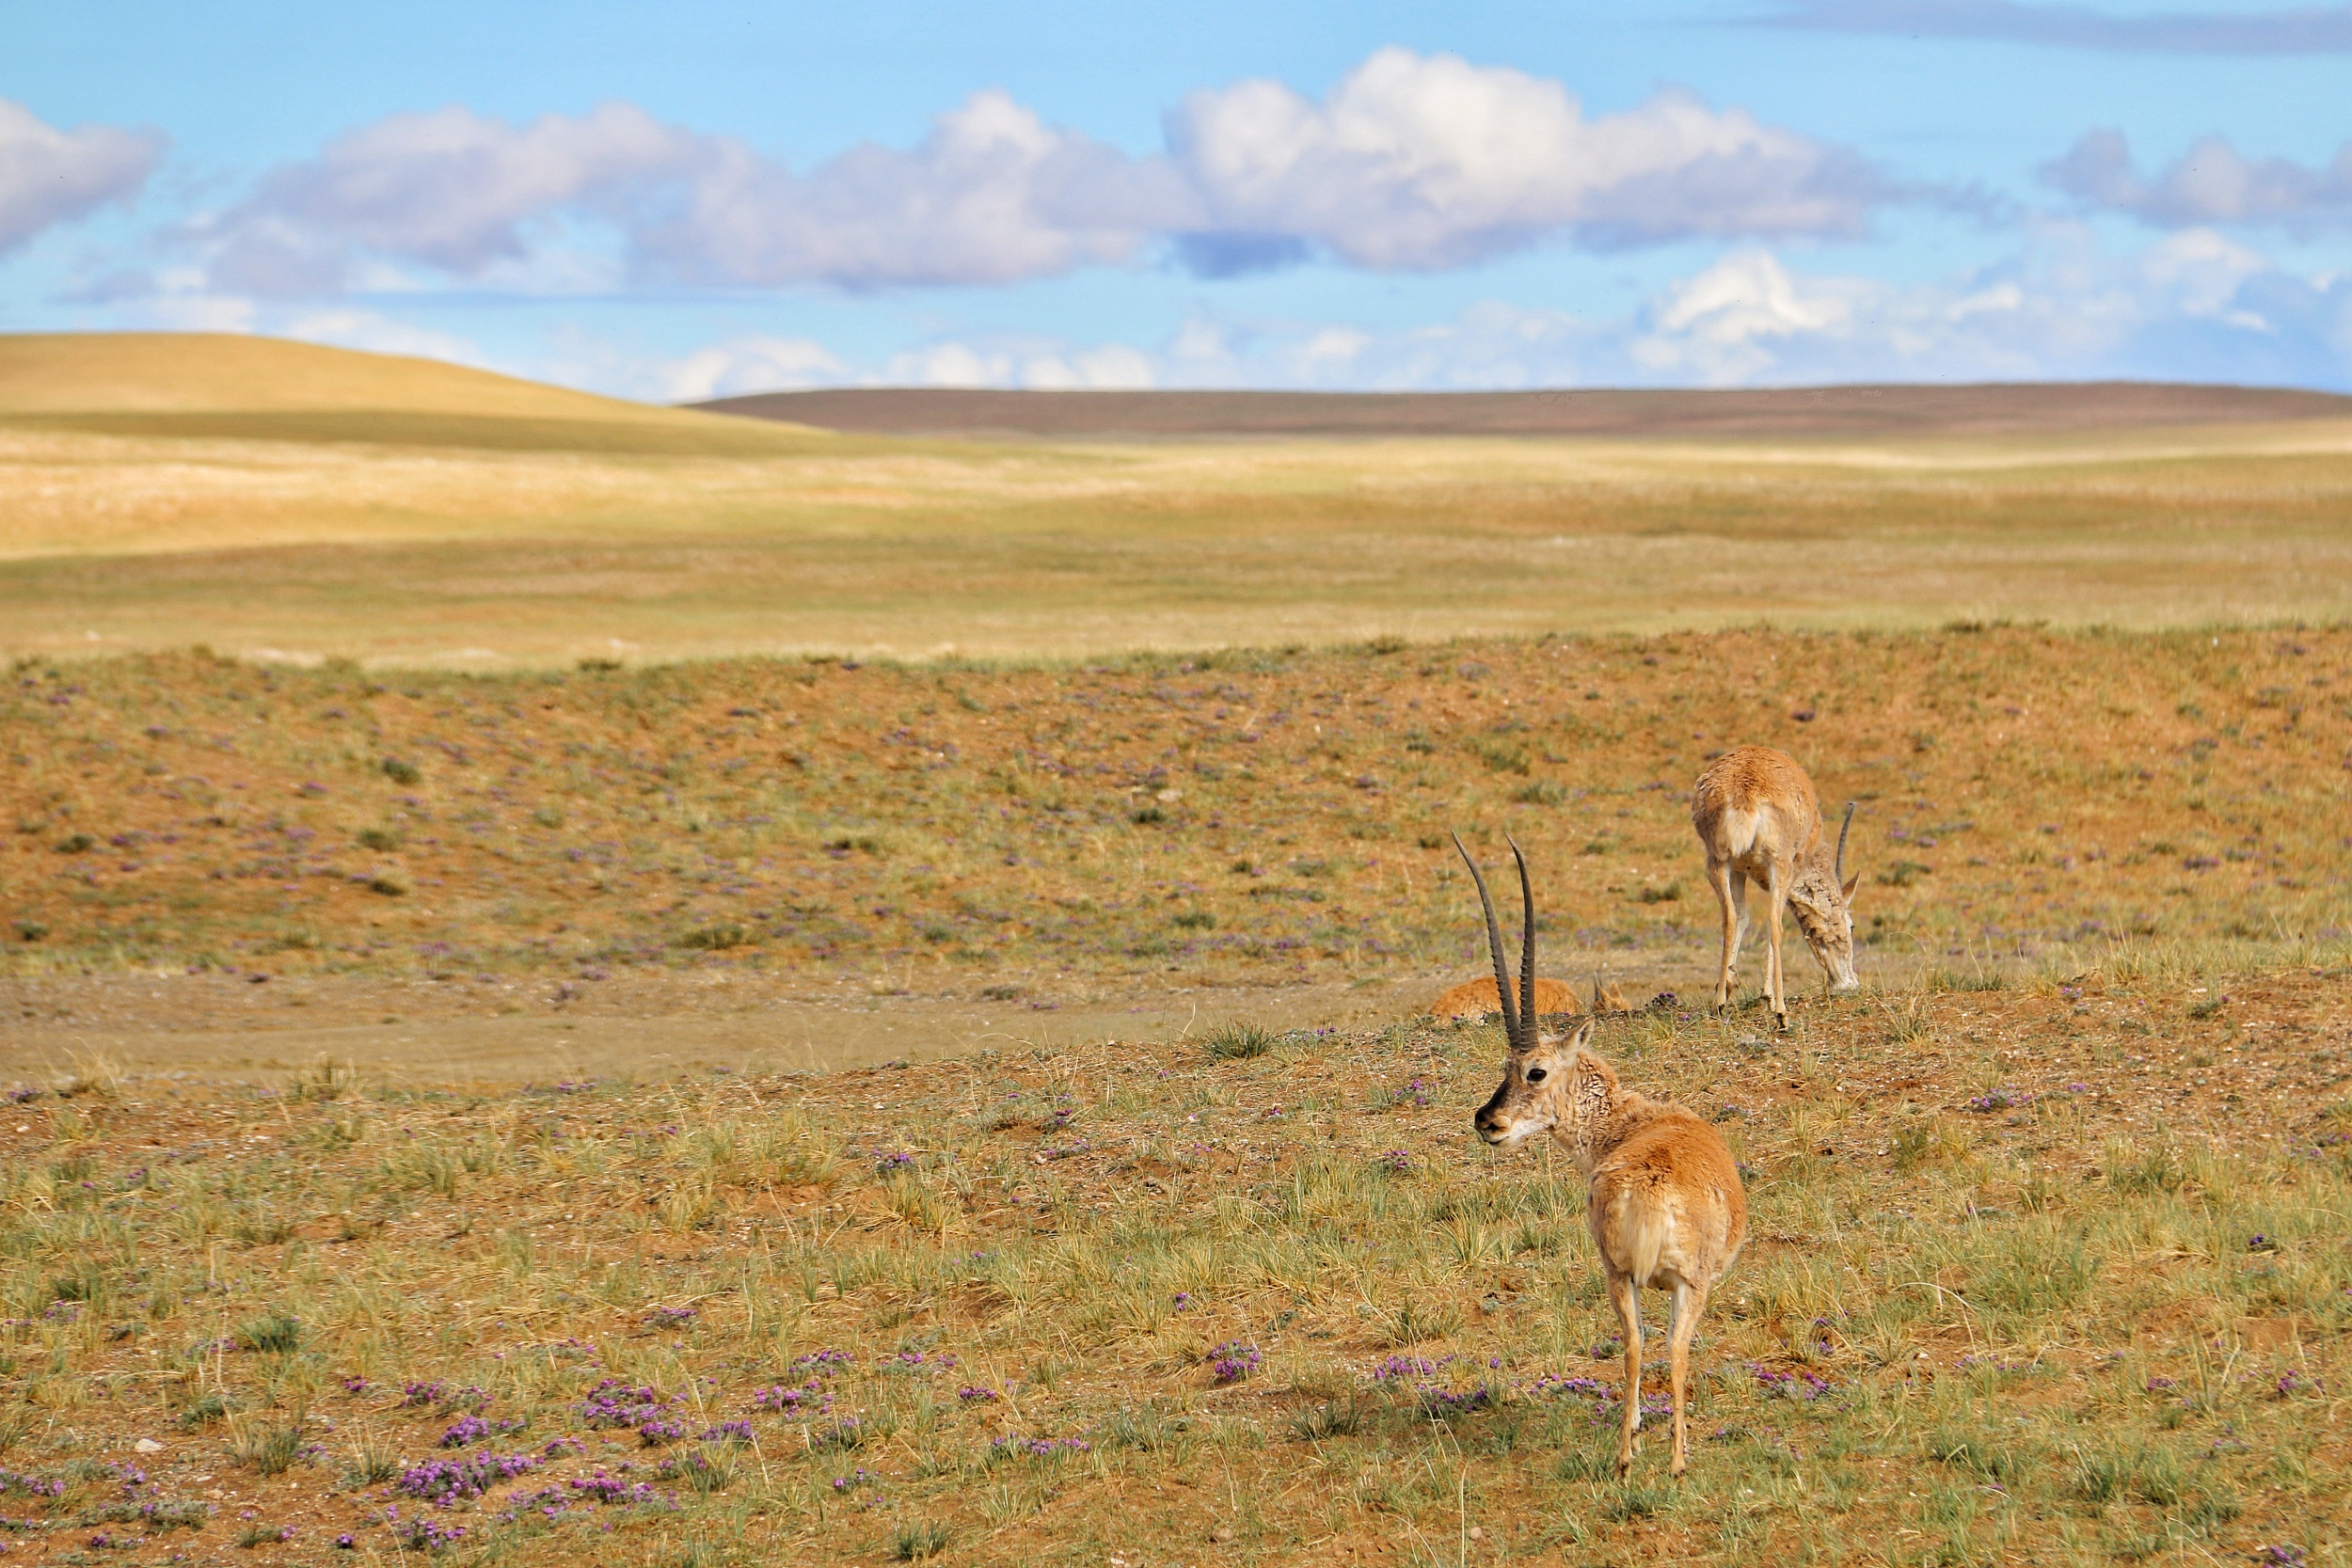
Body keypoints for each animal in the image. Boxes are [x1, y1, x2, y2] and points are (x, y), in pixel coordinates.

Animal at [1449, 832, 1750, 1485]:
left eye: (1533, 1070)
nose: (1488, 1122)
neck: (1630, 1121)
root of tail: (1652, 1189)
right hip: (1675, 1284)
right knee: (1670, 1348)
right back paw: (1671, 1460)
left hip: (1625, 1277)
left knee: (1640, 1344)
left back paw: (1631, 1453)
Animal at [1693, 747, 1853, 1029]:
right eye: (1851, 925)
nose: (1850, 983)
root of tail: (1745, 792)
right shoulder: (1793, 868)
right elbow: (1773, 921)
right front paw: (1768, 997)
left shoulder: (1738, 869)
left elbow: (1742, 917)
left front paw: (1729, 983)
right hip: (1779, 864)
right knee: (1774, 921)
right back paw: (1781, 1013)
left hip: (1717, 862)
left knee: (1730, 918)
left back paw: (1719, 1004)